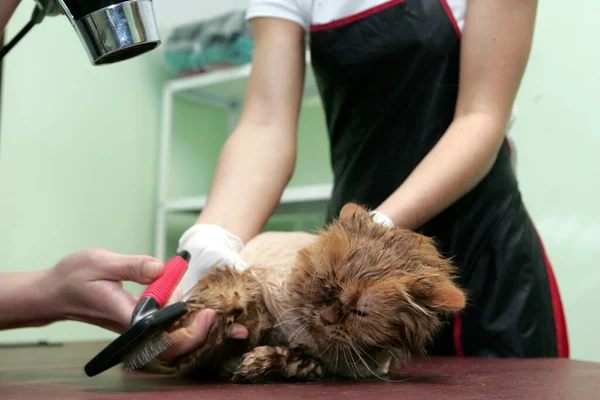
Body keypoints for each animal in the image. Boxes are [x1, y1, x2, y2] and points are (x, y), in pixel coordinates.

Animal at [162, 205, 466, 382]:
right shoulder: (260, 287)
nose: (327, 317)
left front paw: (258, 364)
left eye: (360, 312)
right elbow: (236, 296)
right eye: (323, 284)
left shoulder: (329, 363)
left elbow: (297, 362)